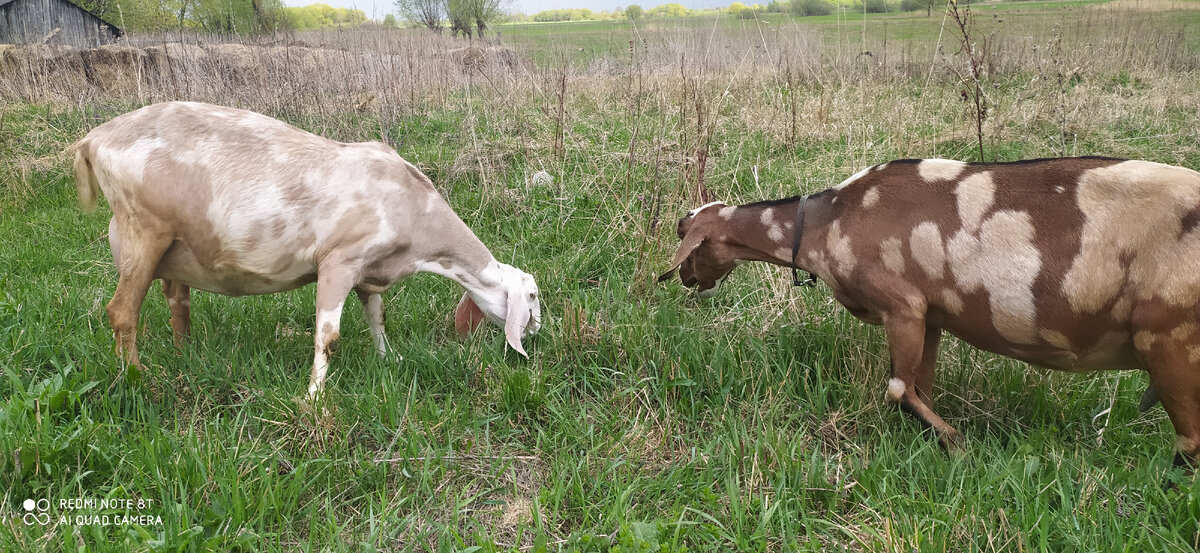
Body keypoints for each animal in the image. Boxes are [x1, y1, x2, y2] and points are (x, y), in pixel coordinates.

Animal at [77, 100, 542, 395]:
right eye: (533, 296)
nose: (536, 333)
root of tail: (93, 138)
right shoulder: (339, 260)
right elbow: (328, 336)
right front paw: (315, 399)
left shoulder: (369, 273)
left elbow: (377, 318)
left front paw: (388, 360)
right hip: (142, 231)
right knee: (122, 312)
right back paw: (138, 377)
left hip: (174, 248)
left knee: (177, 301)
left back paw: (184, 355)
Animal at [662, 155, 1200, 465]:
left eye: (686, 239)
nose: (688, 280)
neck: (825, 222)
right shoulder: (933, 315)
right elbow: (921, 385)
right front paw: (943, 441)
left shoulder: (901, 305)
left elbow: (898, 388)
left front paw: (958, 443)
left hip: (1169, 340)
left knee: (1189, 444)